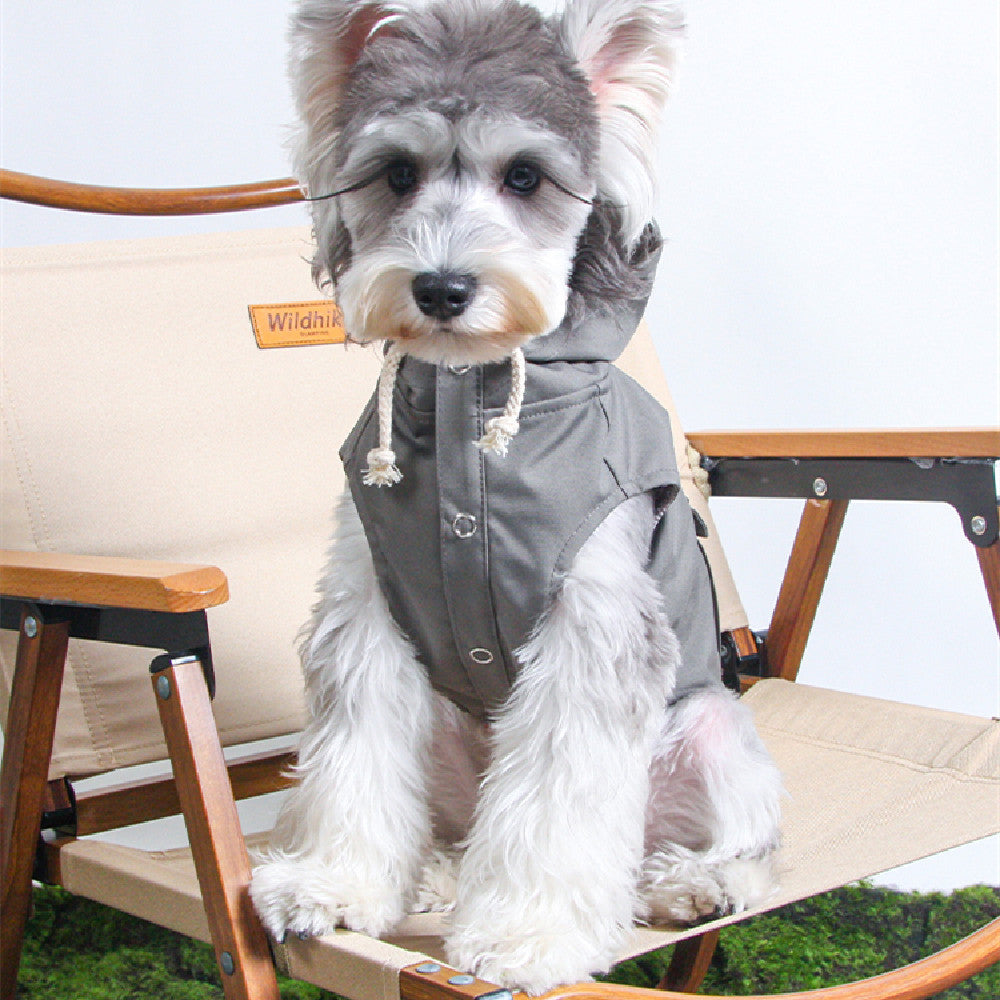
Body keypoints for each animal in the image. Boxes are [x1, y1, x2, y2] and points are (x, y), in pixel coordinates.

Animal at [250, 0, 780, 992]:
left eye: (525, 175)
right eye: (397, 173)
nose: (442, 286)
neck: (470, 404)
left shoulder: (591, 627)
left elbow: (558, 800)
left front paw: (526, 938)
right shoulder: (366, 610)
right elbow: (353, 759)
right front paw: (333, 885)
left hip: (711, 728)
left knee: (740, 847)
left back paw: (690, 886)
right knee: (457, 834)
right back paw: (433, 877)